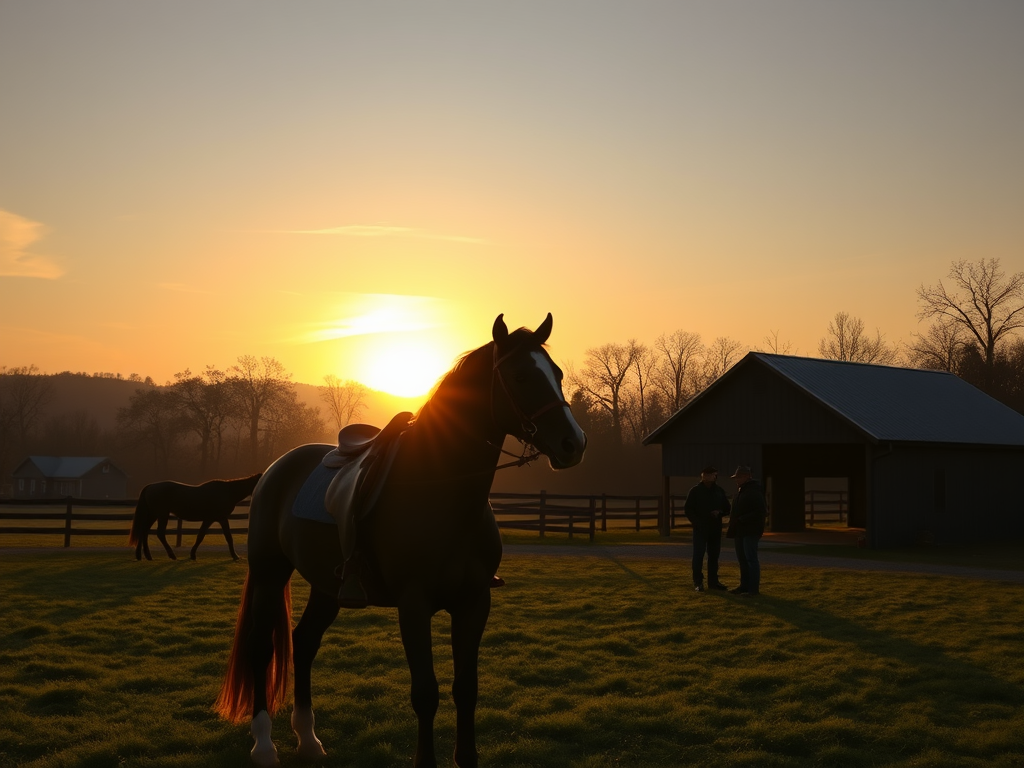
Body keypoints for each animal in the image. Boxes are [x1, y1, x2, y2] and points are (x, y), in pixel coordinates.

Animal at [128, 473, 262, 561]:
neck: (227, 492)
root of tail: (150, 486)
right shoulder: (218, 518)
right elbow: (225, 537)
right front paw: (235, 556)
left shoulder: (213, 519)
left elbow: (201, 536)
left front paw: (192, 554)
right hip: (161, 514)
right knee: (159, 533)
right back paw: (171, 555)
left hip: (153, 515)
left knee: (144, 531)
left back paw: (143, 556)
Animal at [214, 314, 586, 768]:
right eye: (520, 376)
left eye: (558, 374)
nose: (573, 443)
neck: (441, 489)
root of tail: (275, 469)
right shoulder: (414, 604)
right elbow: (425, 693)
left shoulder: (474, 602)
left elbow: (466, 689)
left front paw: (466, 757)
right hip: (270, 574)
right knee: (261, 647)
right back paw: (265, 744)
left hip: (328, 586)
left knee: (304, 642)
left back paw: (308, 738)